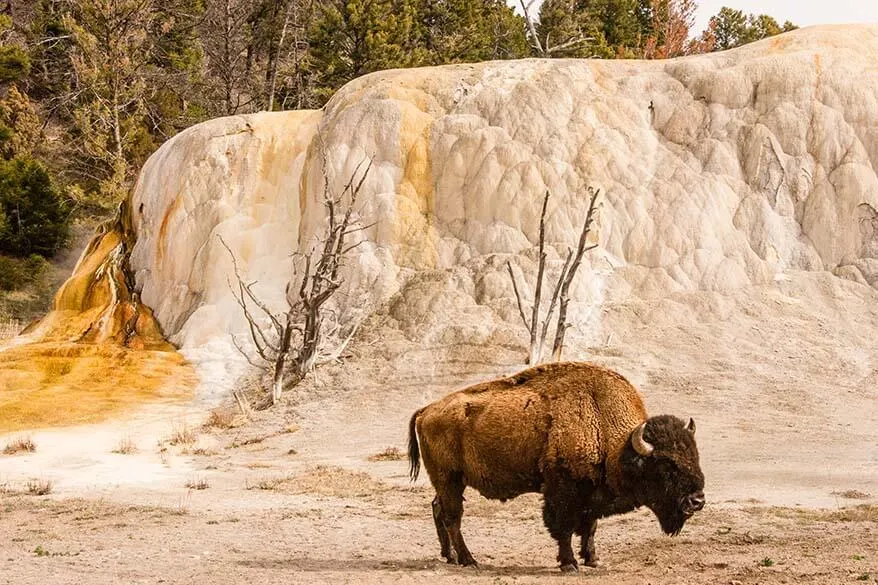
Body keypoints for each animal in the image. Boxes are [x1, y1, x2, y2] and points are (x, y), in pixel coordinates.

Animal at [408, 360, 708, 572]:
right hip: (450, 479)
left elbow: (590, 526)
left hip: (448, 482)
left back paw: (450, 556)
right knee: (453, 517)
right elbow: (563, 527)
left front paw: (593, 559)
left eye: (694, 456)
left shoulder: (591, 493)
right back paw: (469, 560)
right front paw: (569, 563)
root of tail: (427, 410)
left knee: (438, 509)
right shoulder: (563, 490)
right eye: (667, 465)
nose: (697, 501)